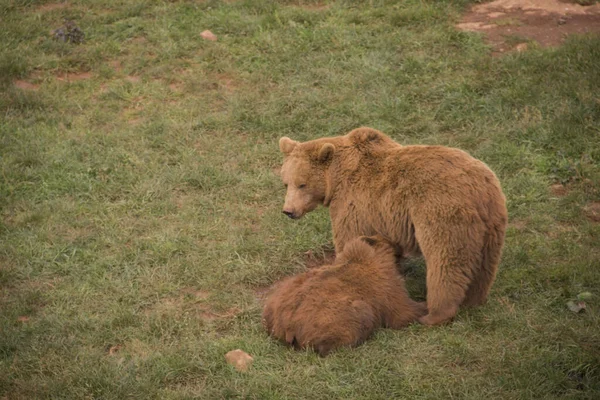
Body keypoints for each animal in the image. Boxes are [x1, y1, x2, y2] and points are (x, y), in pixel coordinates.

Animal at [278, 127, 506, 324]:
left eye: (302, 184)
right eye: (286, 182)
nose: (289, 211)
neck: (336, 179)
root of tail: (479, 189)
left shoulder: (354, 204)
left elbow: (349, 239)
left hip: (441, 212)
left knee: (444, 261)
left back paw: (434, 314)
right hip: (493, 220)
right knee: (485, 264)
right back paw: (473, 300)